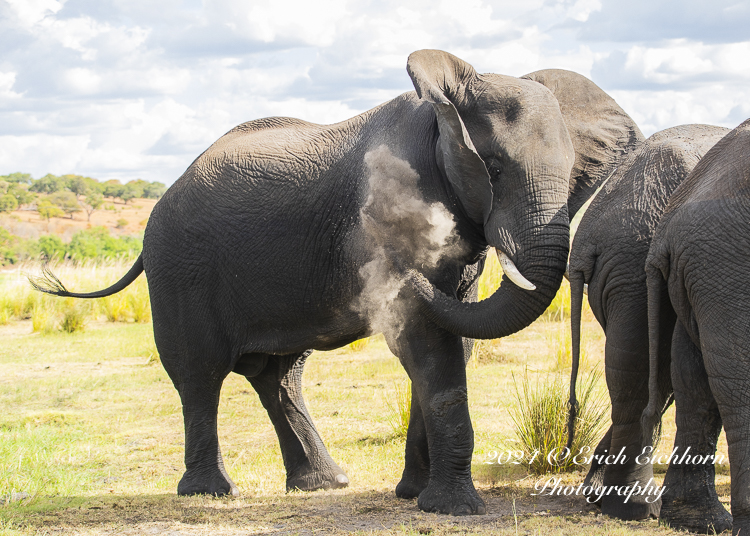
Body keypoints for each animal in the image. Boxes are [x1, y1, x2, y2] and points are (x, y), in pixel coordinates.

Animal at [33, 50, 640, 516]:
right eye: (491, 169)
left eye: (575, 173)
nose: (399, 272)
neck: (440, 114)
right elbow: (428, 341)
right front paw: (454, 509)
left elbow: (451, 339)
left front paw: (414, 496)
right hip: (180, 267)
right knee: (199, 375)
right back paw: (211, 494)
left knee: (278, 375)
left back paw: (324, 484)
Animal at [568, 122, 732, 528]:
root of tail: (588, 238)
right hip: (633, 266)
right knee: (646, 374)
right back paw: (637, 508)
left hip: (624, 271)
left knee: (636, 372)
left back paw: (603, 496)